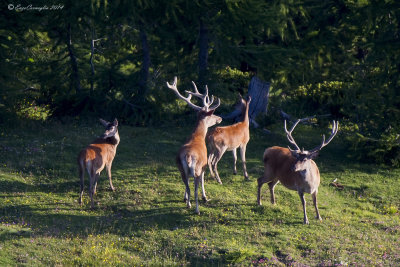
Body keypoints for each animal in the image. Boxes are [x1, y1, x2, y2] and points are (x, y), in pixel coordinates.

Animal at [166, 76, 222, 215]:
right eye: (212, 114)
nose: (220, 118)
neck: (198, 137)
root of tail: (188, 157)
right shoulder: (204, 165)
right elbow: (202, 181)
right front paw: (205, 197)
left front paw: (185, 197)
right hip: (196, 169)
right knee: (195, 188)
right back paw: (196, 209)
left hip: (181, 169)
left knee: (187, 185)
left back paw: (188, 203)